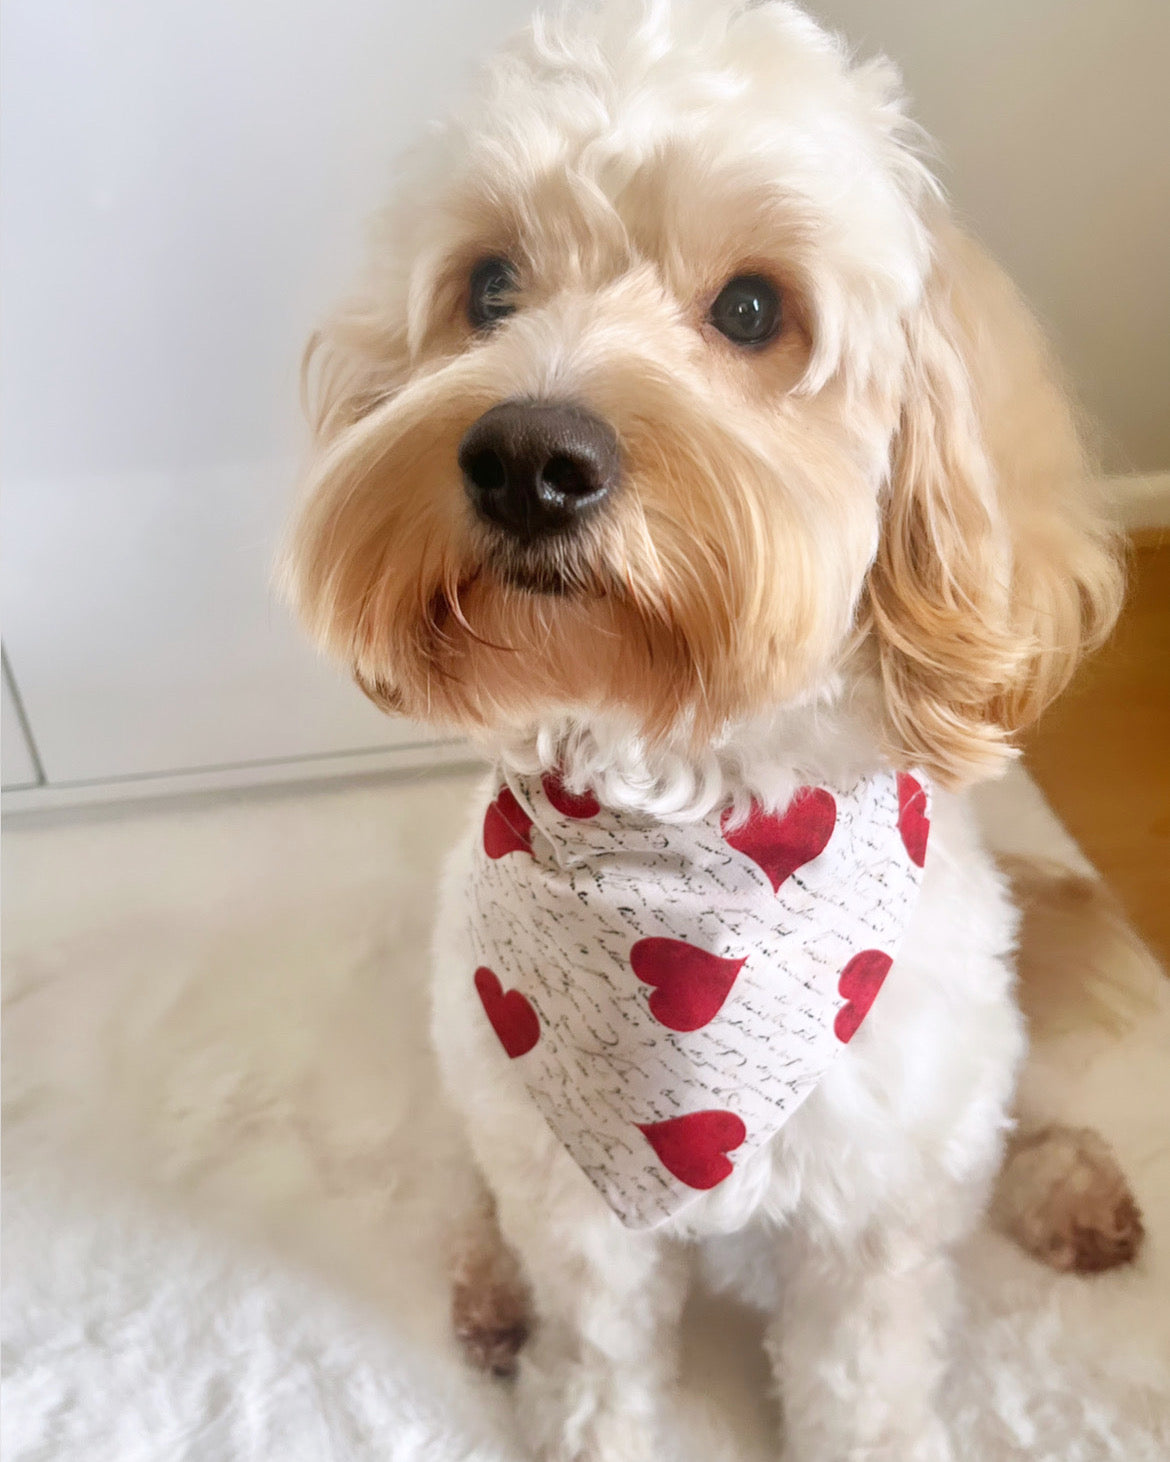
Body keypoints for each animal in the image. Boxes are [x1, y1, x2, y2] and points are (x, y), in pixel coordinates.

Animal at [285, 5, 1140, 1456]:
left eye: (751, 309)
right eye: (488, 287)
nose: (527, 460)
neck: (681, 816)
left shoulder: (871, 1210)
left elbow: (861, 1374)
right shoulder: (574, 1195)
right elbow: (598, 1338)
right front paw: (583, 1414)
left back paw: (1067, 1190)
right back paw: (488, 1288)